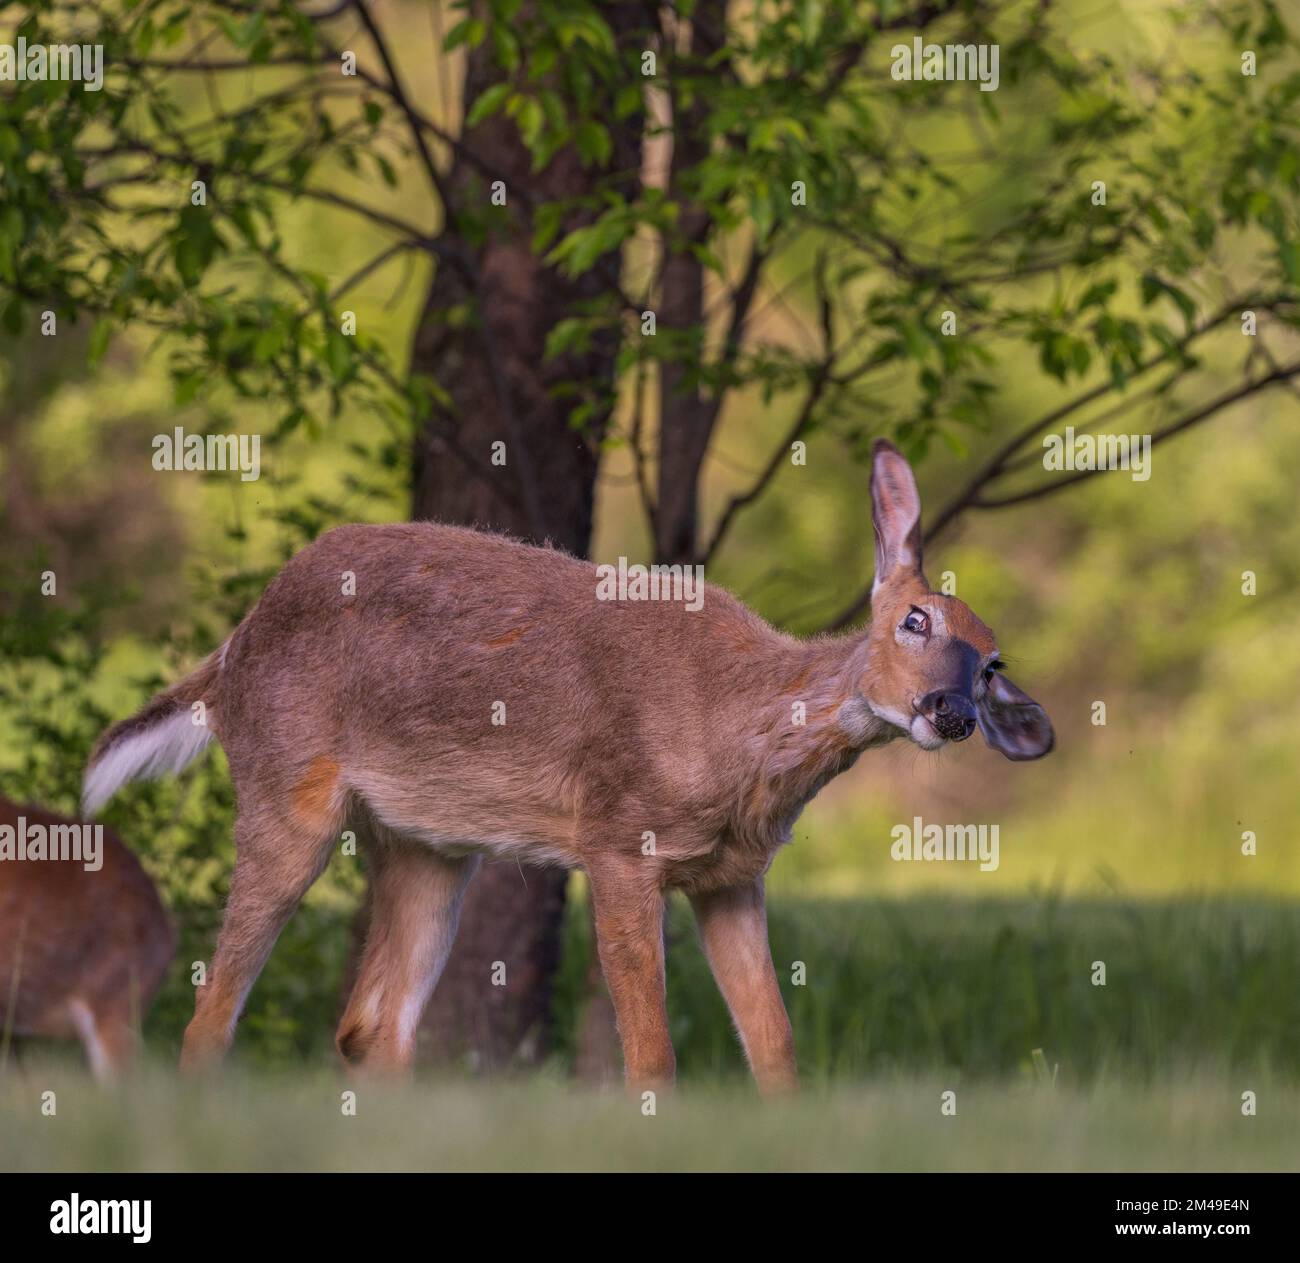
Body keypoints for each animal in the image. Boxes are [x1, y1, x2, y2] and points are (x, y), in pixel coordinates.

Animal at [81, 440, 1052, 1093]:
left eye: (993, 661)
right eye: (915, 620)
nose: (954, 710)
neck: (740, 733)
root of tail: (232, 649)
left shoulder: (733, 876)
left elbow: (775, 1046)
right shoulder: (618, 837)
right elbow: (651, 1053)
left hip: (429, 845)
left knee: (369, 1027)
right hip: (288, 790)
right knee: (209, 1019)